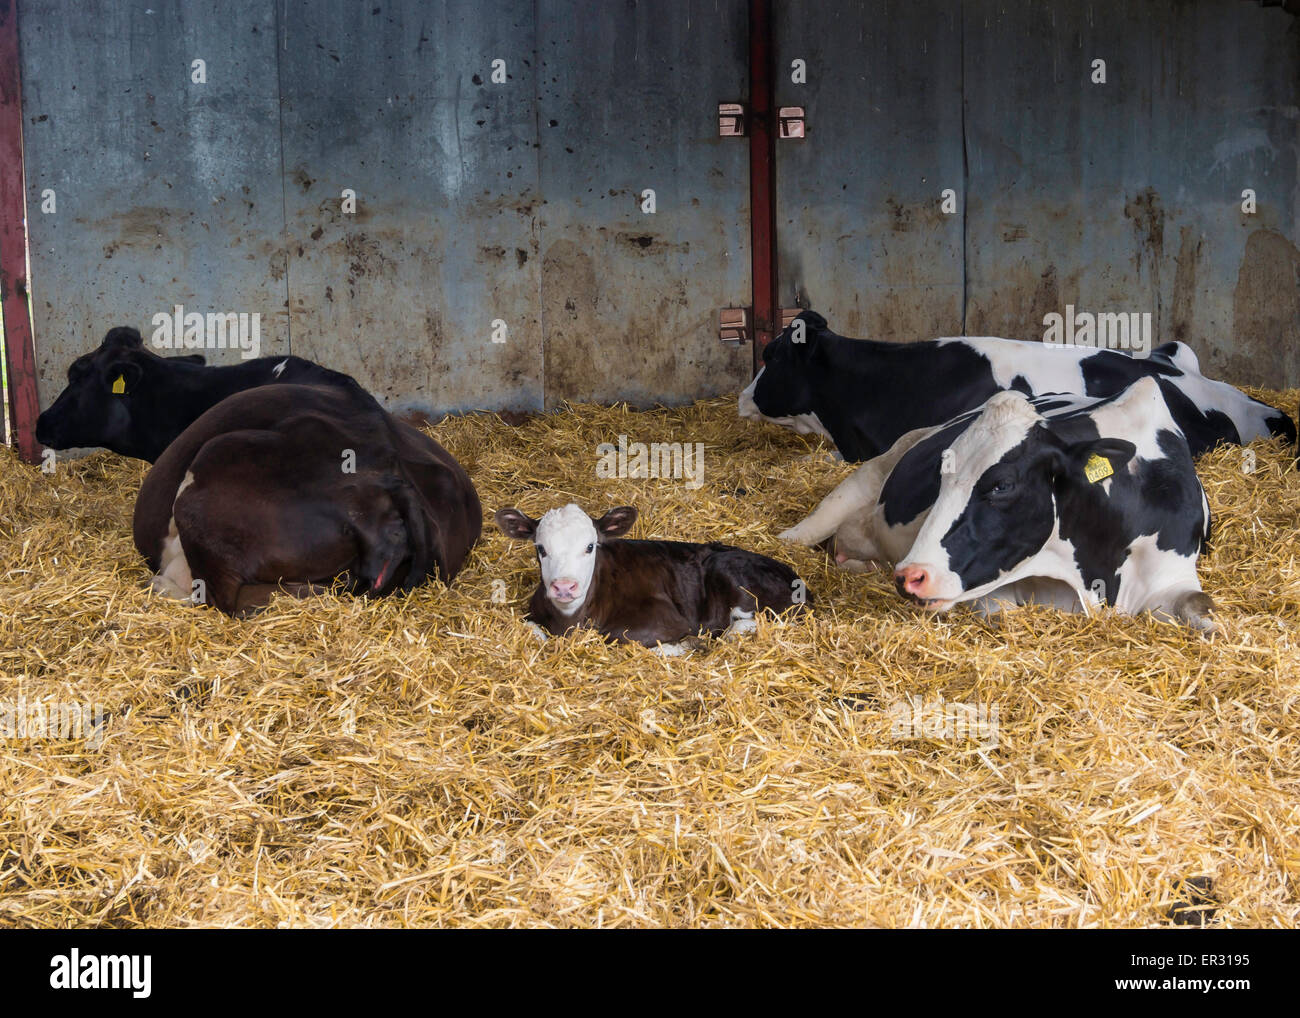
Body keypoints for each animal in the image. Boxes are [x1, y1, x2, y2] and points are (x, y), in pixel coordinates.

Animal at [494, 503, 812, 654]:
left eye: (590, 546)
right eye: (541, 548)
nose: (563, 586)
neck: (569, 620)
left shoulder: (668, 621)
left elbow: (621, 636)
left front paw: (685, 645)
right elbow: (529, 629)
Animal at [779, 377, 1217, 630]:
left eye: (1002, 485)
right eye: (941, 476)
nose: (910, 576)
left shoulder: (1171, 576)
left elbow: (1202, 610)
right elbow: (1001, 612)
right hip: (876, 469)